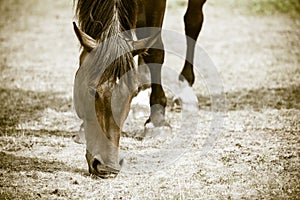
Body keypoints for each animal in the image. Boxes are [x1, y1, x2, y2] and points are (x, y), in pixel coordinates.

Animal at [72, 0, 206, 178]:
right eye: (91, 90)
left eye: (131, 92)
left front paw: (157, 120)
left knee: (193, 20)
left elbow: (155, 50)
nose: (107, 167)